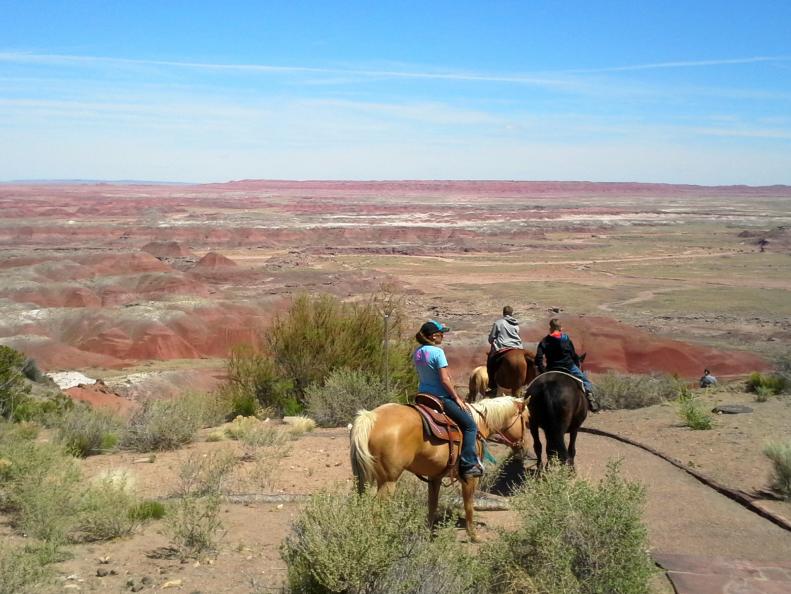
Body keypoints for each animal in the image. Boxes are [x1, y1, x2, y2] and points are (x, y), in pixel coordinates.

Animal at [352, 396, 524, 540]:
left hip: (365, 479)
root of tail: (370, 417)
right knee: (376, 509)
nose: (521, 445)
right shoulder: (470, 478)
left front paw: (427, 533)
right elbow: (469, 505)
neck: (479, 425)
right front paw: (473, 535)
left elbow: (432, 504)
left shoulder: (435, 477)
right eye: (525, 419)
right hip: (388, 481)